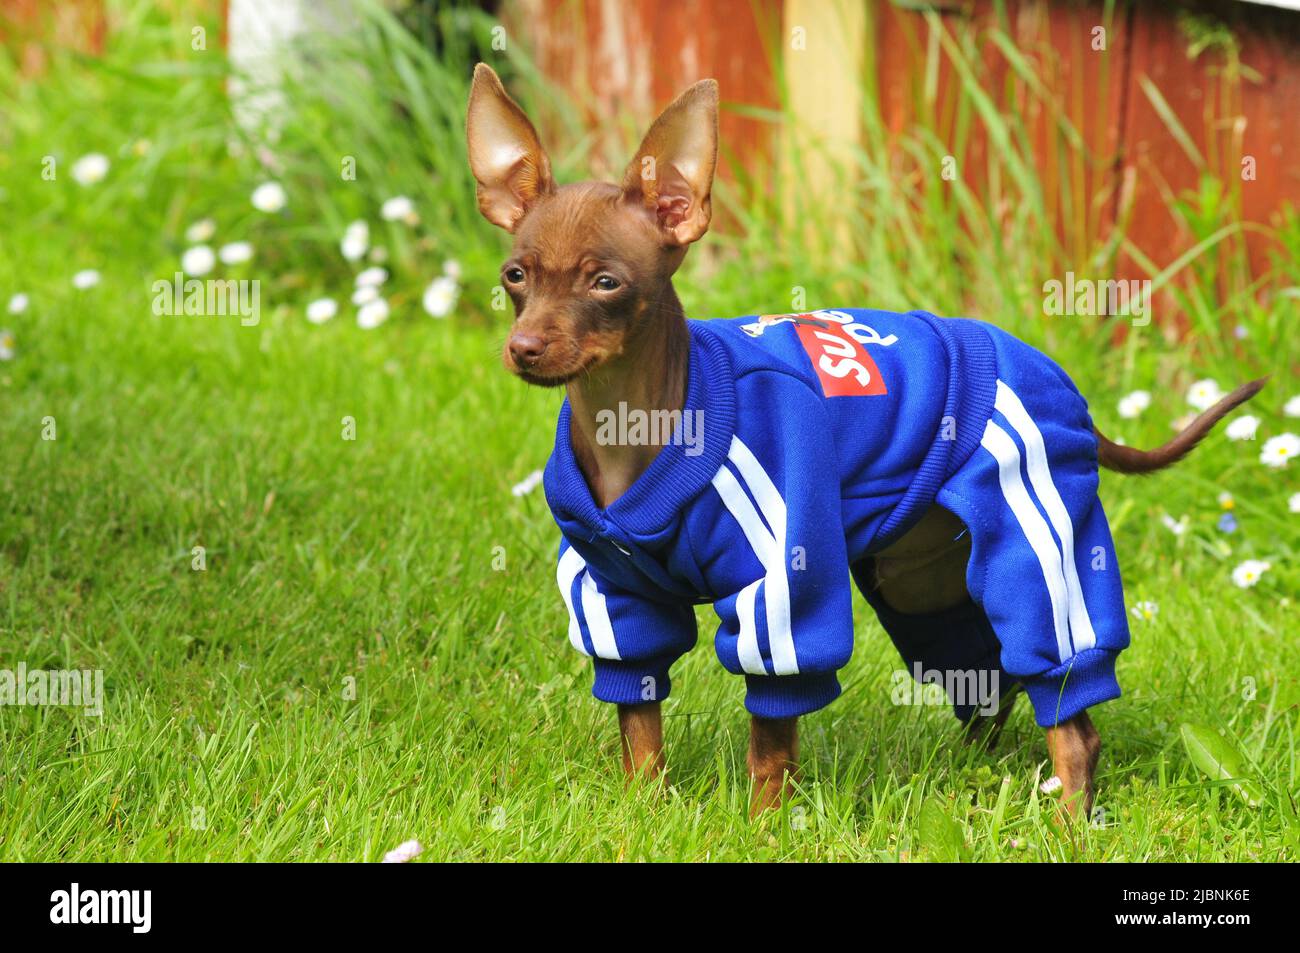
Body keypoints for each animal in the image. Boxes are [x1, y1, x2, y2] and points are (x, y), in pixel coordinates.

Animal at [465, 63, 1258, 816]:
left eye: (605, 283)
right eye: (515, 276)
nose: (524, 347)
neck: (631, 424)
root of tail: (1054, 375)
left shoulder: (783, 590)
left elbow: (771, 738)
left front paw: (761, 826)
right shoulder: (615, 596)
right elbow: (639, 722)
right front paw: (644, 809)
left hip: (1033, 540)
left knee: (1067, 698)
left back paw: (1065, 817)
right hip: (923, 577)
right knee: (987, 678)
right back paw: (973, 772)